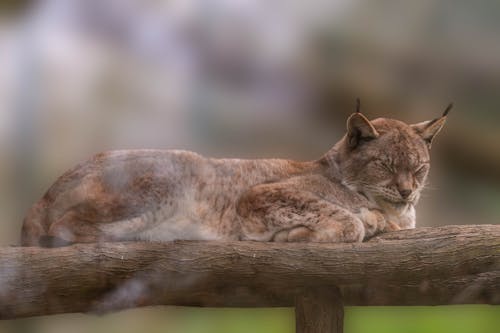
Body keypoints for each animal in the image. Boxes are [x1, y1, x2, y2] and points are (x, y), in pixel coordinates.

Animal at [21, 104, 450, 246]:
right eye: (386, 165)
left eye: (419, 168)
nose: (408, 192)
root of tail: (46, 189)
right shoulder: (256, 195)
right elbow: (348, 221)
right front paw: (300, 234)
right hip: (174, 173)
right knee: (61, 227)